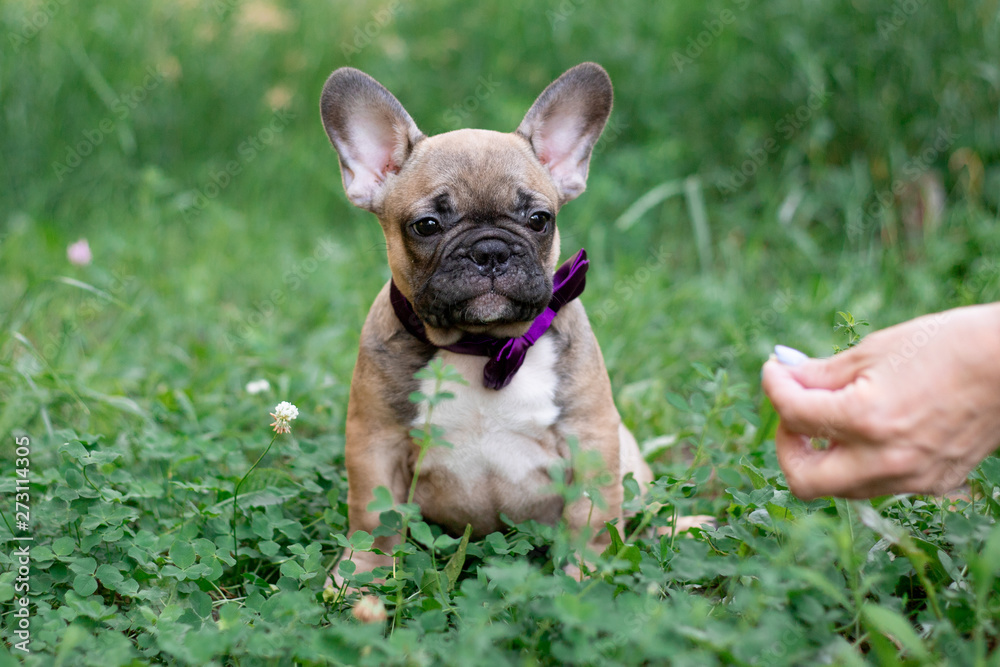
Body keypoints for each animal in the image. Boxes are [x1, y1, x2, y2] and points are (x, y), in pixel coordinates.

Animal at [316, 62, 668, 580]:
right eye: (426, 226)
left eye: (540, 219)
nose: (490, 251)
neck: (482, 347)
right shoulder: (375, 442)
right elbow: (373, 517)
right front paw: (361, 575)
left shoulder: (590, 439)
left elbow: (592, 518)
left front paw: (587, 575)